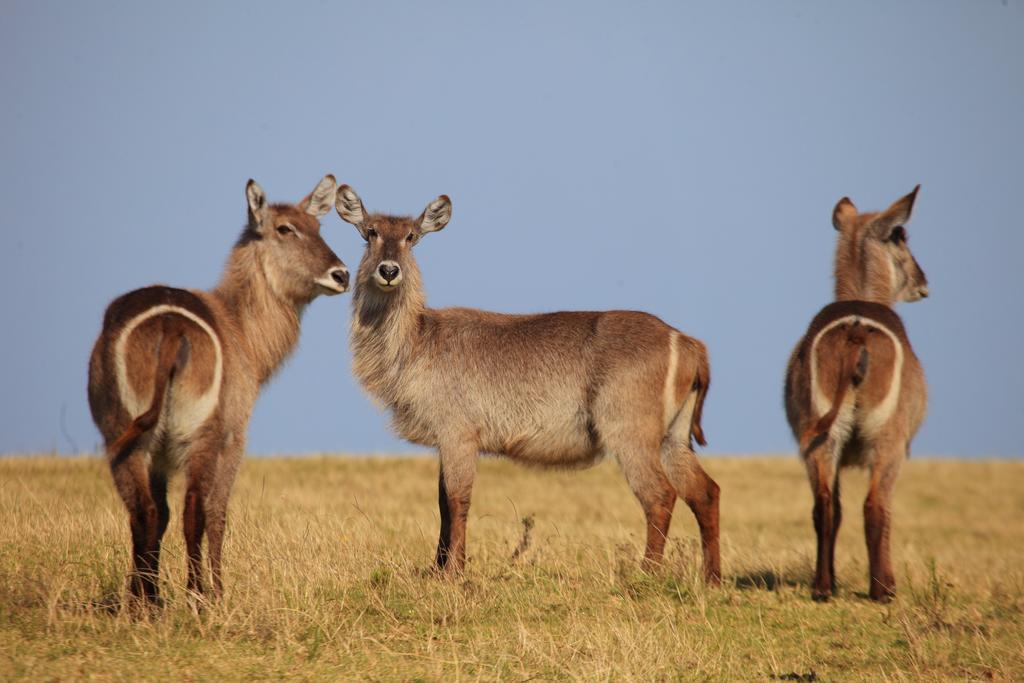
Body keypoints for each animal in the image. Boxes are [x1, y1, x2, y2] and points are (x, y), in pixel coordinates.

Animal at [89, 175, 344, 602]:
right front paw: (218, 591)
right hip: (201, 434)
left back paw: (143, 602)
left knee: (144, 511)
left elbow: (161, 514)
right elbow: (217, 513)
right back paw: (198, 596)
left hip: (123, 435)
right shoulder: (235, 437)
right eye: (285, 229)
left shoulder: (159, 455)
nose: (341, 274)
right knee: (195, 509)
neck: (238, 324)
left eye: (318, 226)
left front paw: (152, 591)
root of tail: (171, 326)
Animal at [335, 187, 720, 581]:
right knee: (705, 492)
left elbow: (458, 500)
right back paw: (712, 580)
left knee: (660, 496)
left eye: (411, 236)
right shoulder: (446, 440)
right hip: (673, 436)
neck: (418, 341)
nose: (389, 270)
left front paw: (454, 574)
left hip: (630, 432)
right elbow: (442, 502)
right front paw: (438, 569)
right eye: (370, 232)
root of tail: (685, 340)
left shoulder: (458, 433)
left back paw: (646, 575)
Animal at [782, 184, 929, 602]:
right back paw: (883, 589)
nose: (923, 282)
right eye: (901, 238)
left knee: (825, 506)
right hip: (887, 439)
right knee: (876, 505)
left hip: (819, 437)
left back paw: (822, 587)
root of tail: (858, 330)